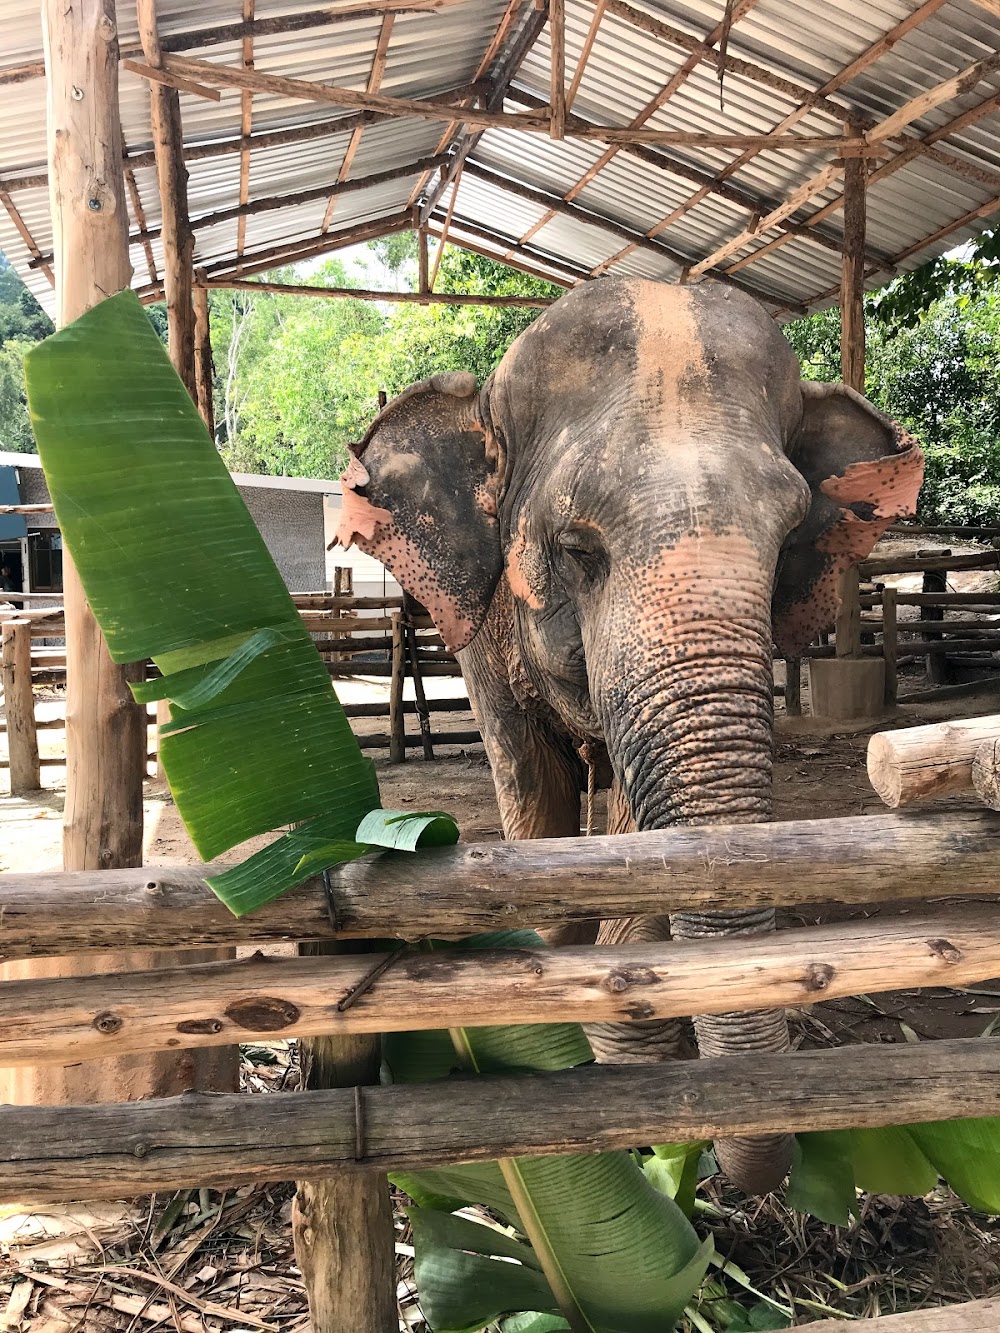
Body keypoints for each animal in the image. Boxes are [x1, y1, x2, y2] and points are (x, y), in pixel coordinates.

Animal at [334, 275, 922, 1194]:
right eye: (577, 548)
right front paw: (543, 981)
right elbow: (527, 777)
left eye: (790, 537)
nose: (729, 1167)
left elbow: (636, 820)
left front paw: (627, 1063)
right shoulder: (481, 624)